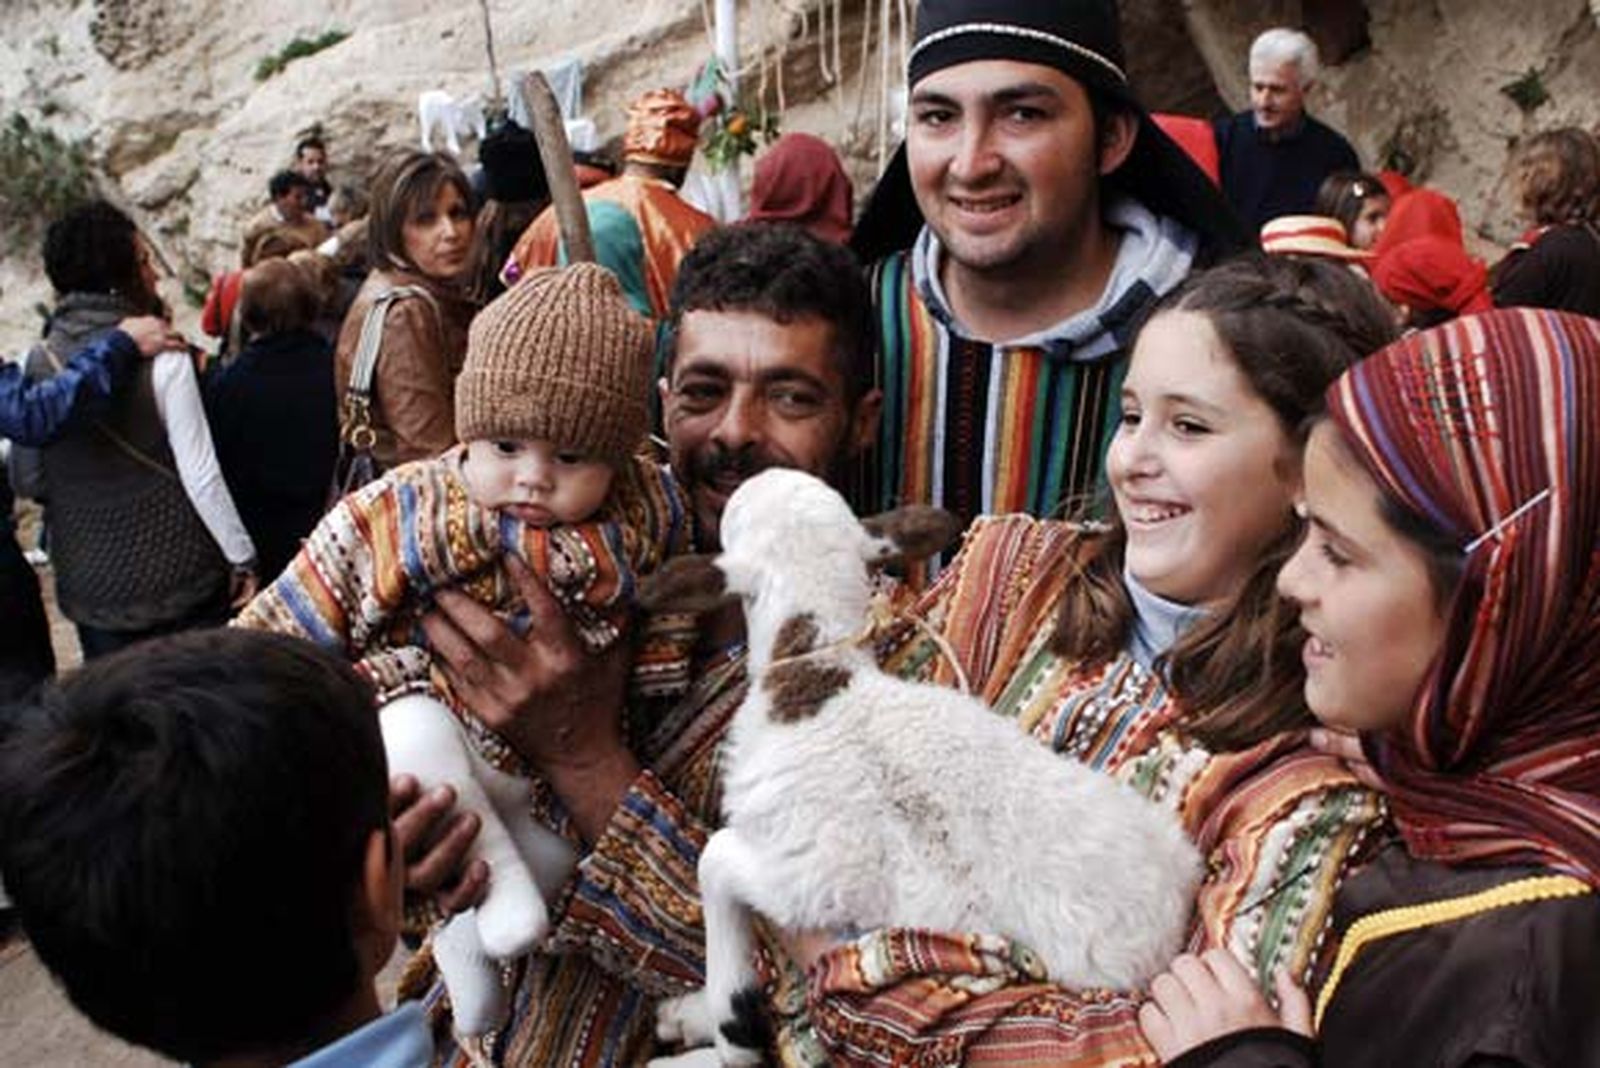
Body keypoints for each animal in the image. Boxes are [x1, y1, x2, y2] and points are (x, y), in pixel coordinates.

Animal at [639, 469, 1202, 1066]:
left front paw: (732, 1027)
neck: (820, 675)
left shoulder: (811, 878)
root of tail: (1175, 910)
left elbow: (714, 861)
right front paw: (697, 1014)